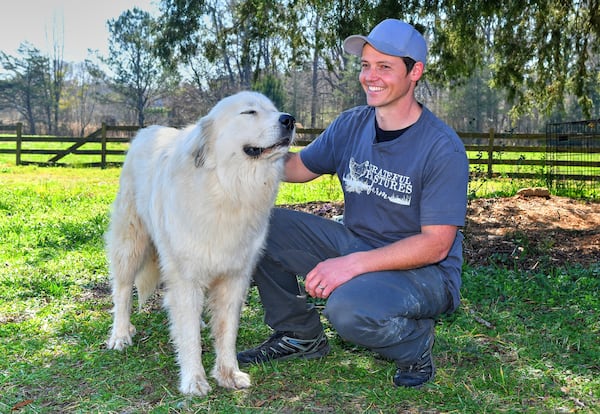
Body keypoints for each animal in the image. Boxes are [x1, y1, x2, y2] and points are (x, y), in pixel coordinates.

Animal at [106, 92, 296, 396]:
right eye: (249, 112)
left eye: (275, 110)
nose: (289, 120)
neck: (229, 187)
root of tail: (147, 131)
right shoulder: (186, 278)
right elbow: (188, 335)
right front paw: (194, 380)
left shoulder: (235, 277)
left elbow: (227, 331)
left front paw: (228, 373)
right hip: (130, 242)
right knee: (123, 291)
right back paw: (120, 334)